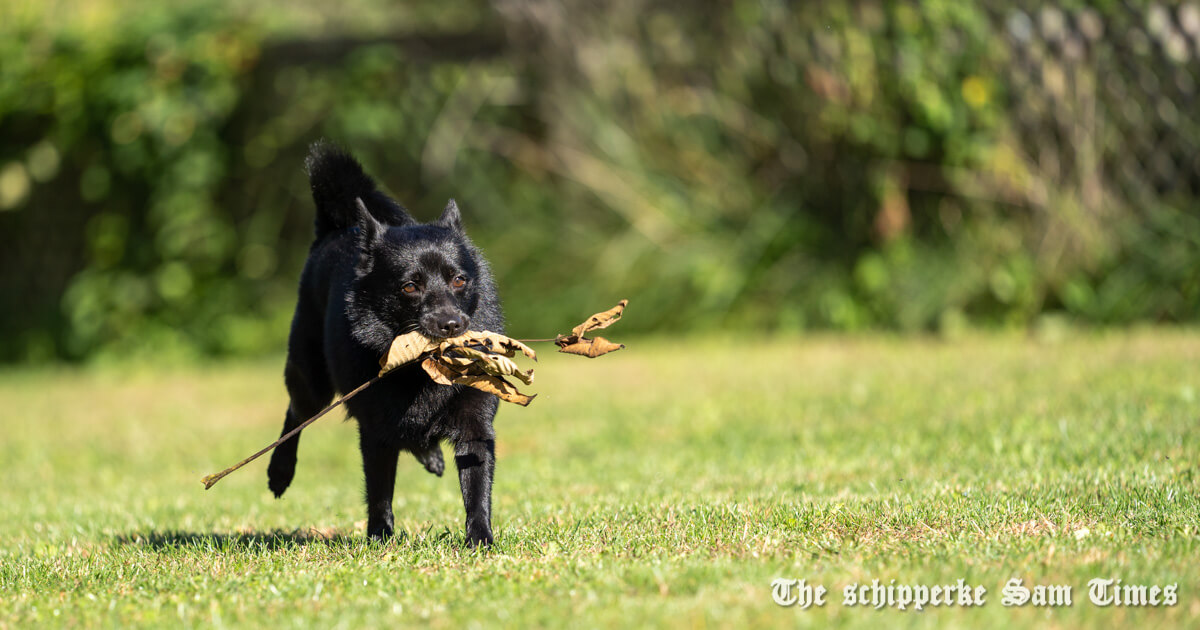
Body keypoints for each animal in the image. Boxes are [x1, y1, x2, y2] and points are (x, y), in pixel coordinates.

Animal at [266, 142, 501, 544]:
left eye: (458, 280)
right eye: (410, 286)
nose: (451, 324)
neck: (421, 373)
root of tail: (338, 228)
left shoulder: (475, 425)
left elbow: (476, 486)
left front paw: (480, 539)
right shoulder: (375, 431)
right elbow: (380, 489)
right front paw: (379, 537)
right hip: (311, 380)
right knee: (295, 413)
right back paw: (279, 471)